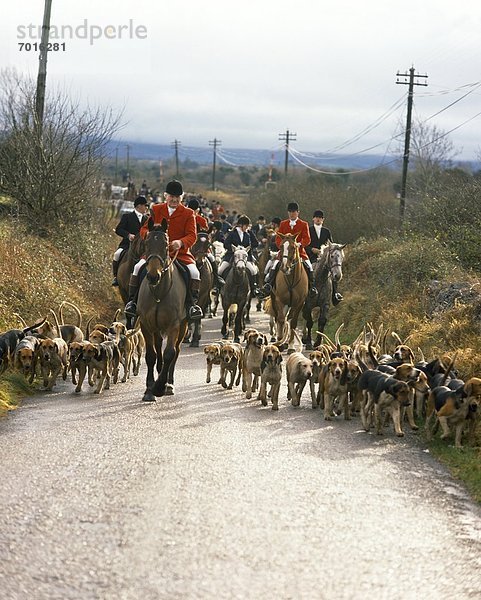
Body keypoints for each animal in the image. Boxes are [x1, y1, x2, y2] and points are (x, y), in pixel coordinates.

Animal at [136, 218, 188, 400]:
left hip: (183, 326)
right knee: (158, 346)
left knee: (175, 351)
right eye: (146, 243)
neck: (158, 291)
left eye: (166, 245)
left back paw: (168, 383)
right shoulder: (145, 325)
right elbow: (151, 355)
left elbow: (169, 353)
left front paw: (159, 386)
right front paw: (149, 389)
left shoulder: (174, 325)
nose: (153, 276)